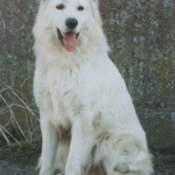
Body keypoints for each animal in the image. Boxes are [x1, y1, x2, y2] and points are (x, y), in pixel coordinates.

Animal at [32, 0, 153, 174]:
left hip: (112, 143)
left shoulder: (82, 117)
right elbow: (48, 161)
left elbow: (72, 163)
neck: (65, 61)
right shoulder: (48, 117)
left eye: (80, 8)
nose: (72, 22)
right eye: (60, 6)